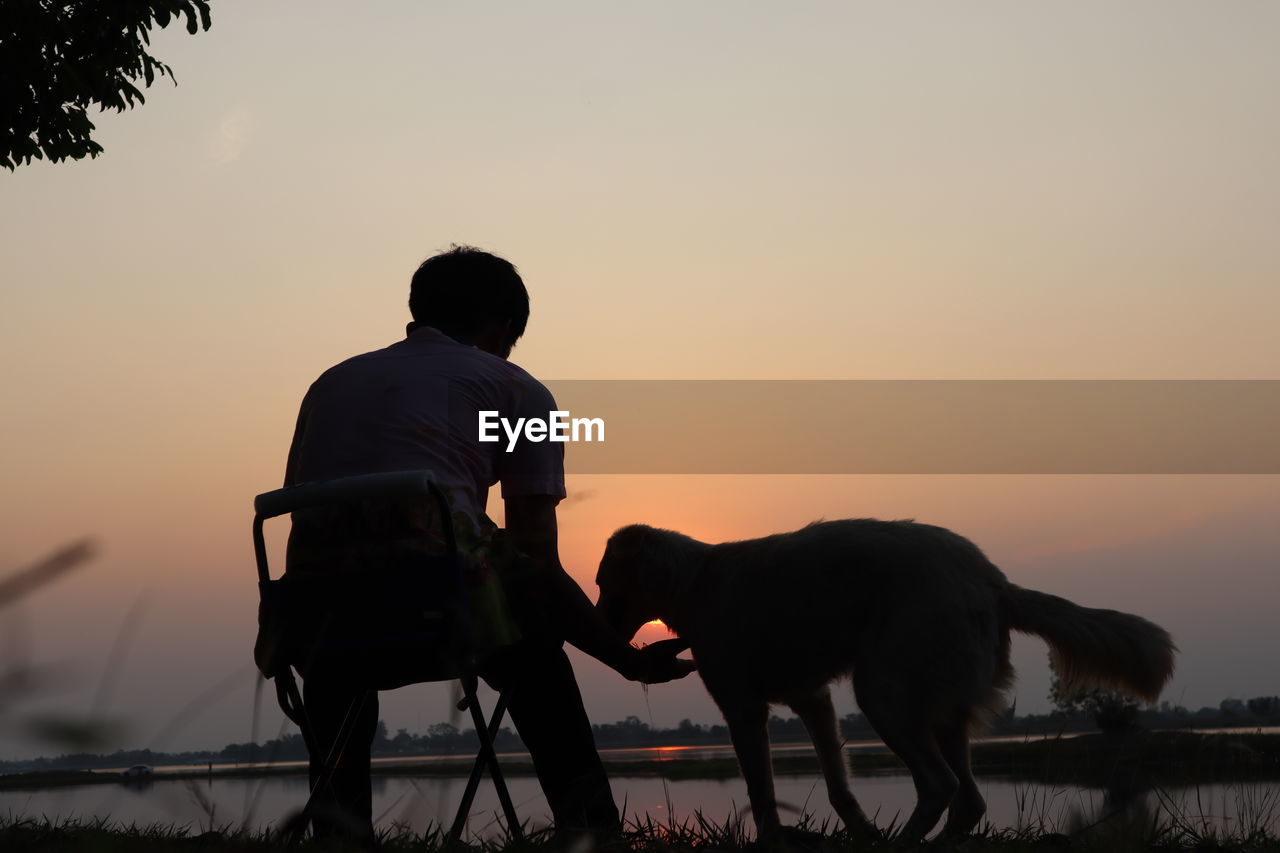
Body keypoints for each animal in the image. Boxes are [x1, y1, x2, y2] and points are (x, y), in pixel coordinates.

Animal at [593, 514, 1172, 840]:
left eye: (601, 582)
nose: (594, 631)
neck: (693, 583)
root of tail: (992, 580)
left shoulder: (743, 709)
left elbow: (762, 799)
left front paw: (776, 840)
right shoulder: (814, 700)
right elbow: (839, 788)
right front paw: (862, 832)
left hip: (883, 696)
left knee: (939, 786)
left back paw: (904, 845)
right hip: (942, 712)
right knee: (968, 800)